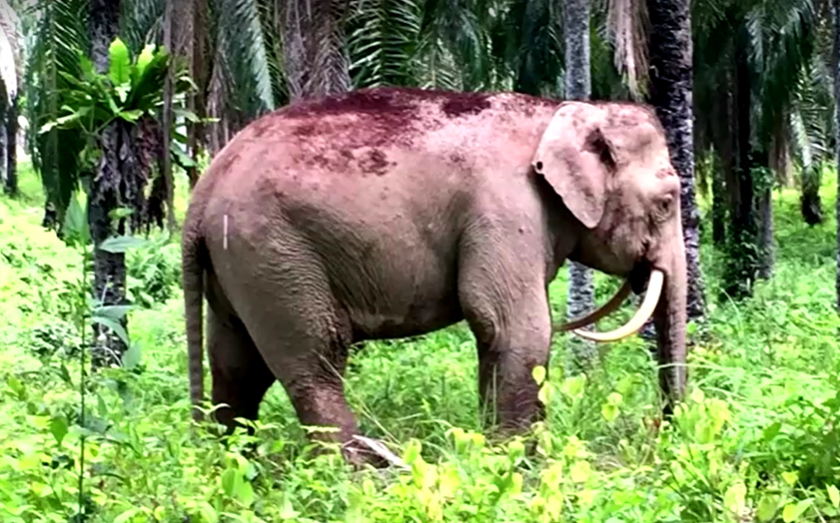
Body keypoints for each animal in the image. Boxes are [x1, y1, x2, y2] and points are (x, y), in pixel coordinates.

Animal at [181, 87, 687, 464]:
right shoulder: (506, 208)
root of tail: (203, 193)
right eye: (667, 201)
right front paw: (515, 466)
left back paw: (236, 468)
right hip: (276, 253)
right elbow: (513, 326)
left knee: (236, 365)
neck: (561, 110)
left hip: (238, 265)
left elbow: (499, 334)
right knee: (315, 359)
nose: (665, 432)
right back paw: (360, 474)